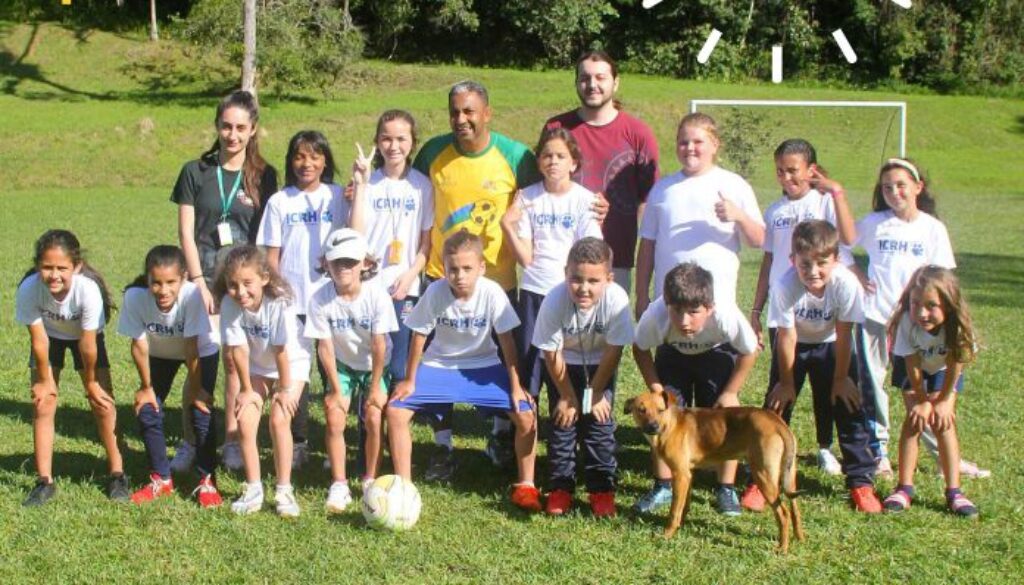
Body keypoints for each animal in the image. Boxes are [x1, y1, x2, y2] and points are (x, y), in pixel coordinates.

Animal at [618, 391, 802, 553]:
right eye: (641, 410)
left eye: (661, 410)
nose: (653, 426)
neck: (670, 425)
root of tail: (776, 422)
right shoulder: (688, 474)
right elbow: (684, 505)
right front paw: (681, 525)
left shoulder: (680, 474)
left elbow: (674, 510)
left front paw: (668, 533)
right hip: (789, 475)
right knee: (794, 508)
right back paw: (799, 537)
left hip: (763, 475)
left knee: (783, 514)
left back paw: (782, 548)